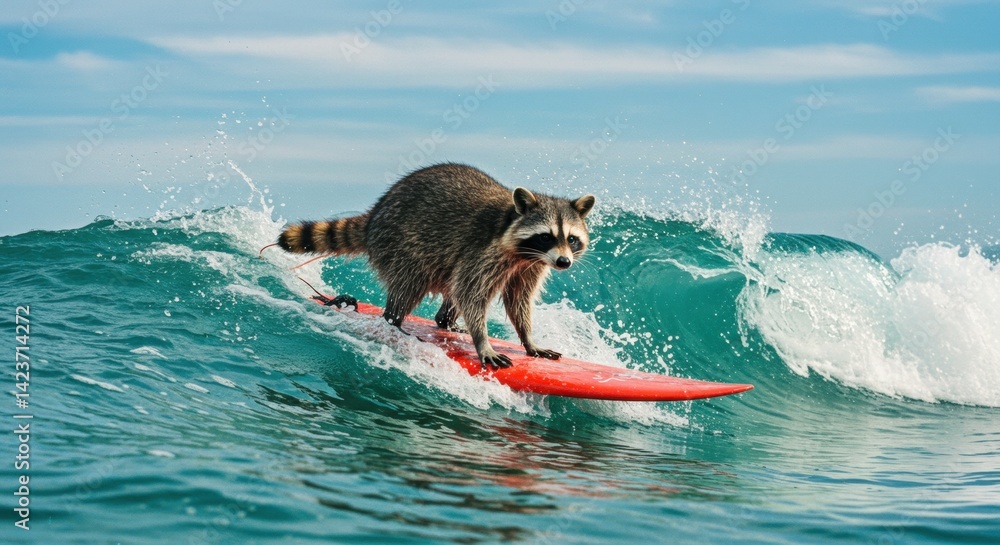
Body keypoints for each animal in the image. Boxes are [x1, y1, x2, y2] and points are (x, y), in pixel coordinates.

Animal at [278, 163, 595, 370]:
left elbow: (519, 300)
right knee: (412, 284)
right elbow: (471, 293)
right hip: (400, 244)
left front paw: (528, 340)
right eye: (546, 236)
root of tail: (374, 216)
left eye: (571, 239)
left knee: (450, 285)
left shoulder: (530, 266)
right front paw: (483, 341)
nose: (564, 262)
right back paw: (394, 321)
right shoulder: (484, 250)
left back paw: (445, 321)